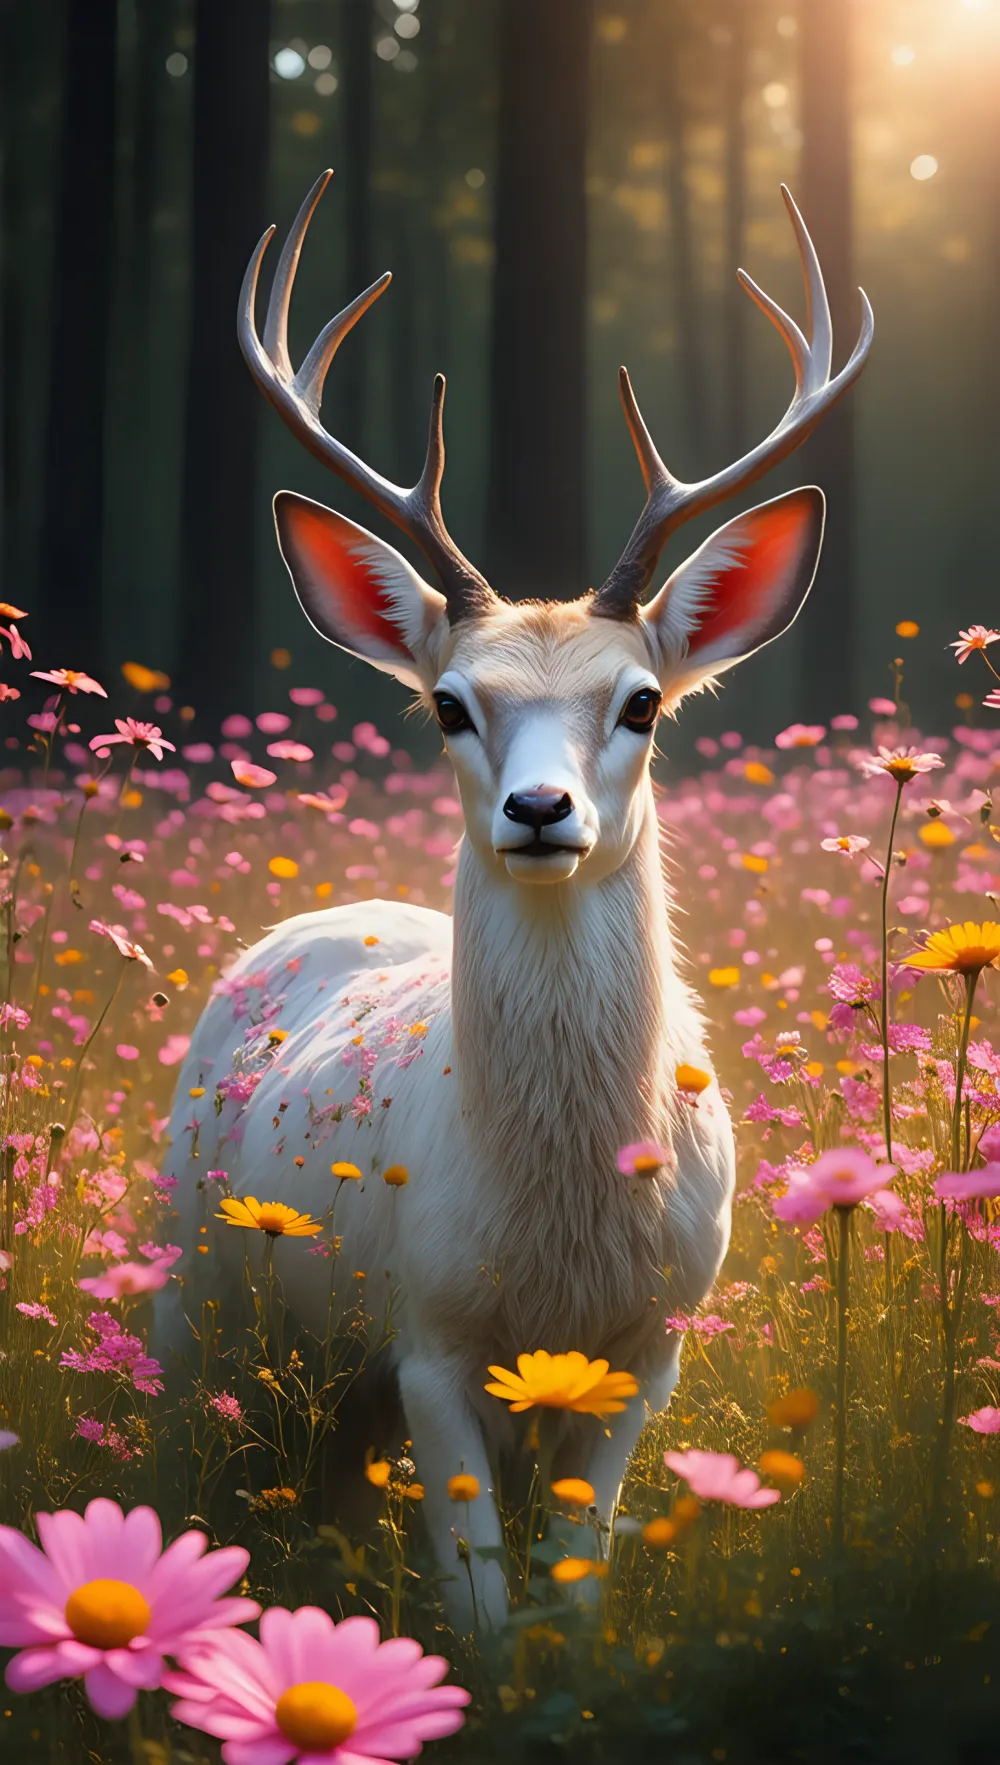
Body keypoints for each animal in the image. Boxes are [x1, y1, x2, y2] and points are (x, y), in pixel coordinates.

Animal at [158, 171, 872, 1630]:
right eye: (447, 703)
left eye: (642, 701)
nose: (540, 811)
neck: (560, 1231)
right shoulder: (431, 1333)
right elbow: (485, 1610)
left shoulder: (648, 1349)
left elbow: (575, 1592)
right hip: (193, 1289)